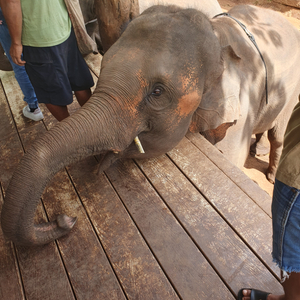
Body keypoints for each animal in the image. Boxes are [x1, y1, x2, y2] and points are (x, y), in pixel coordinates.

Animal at [2, 3, 300, 245]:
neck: (216, 38)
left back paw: (269, 173)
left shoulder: (239, 110)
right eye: (103, 61)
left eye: (157, 92)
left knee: (280, 134)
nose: (65, 219)